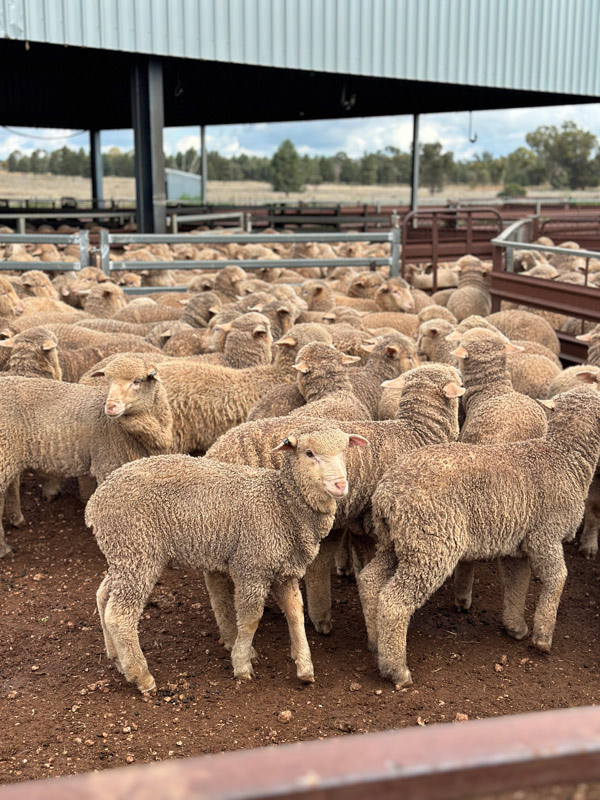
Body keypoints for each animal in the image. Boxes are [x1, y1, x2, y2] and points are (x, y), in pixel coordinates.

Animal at [0, 355, 173, 557]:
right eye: (108, 381)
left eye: (137, 381)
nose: (110, 407)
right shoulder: (107, 463)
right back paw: (4, 548)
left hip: (10, 455)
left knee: (12, 484)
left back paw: (17, 520)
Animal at [87, 429, 366, 691]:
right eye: (309, 453)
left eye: (344, 451)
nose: (341, 485)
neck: (281, 504)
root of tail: (95, 503)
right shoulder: (251, 567)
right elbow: (250, 618)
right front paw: (242, 664)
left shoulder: (284, 571)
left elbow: (295, 613)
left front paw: (305, 667)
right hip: (138, 551)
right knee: (120, 616)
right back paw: (141, 676)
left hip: (123, 555)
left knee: (103, 596)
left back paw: (116, 658)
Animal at [365, 387, 600, 687]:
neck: (565, 458)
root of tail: (387, 493)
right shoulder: (545, 536)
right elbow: (556, 579)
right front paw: (543, 637)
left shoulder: (518, 545)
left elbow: (517, 584)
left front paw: (516, 627)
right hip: (430, 545)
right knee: (394, 602)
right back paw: (397, 670)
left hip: (397, 542)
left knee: (370, 581)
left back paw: (376, 644)